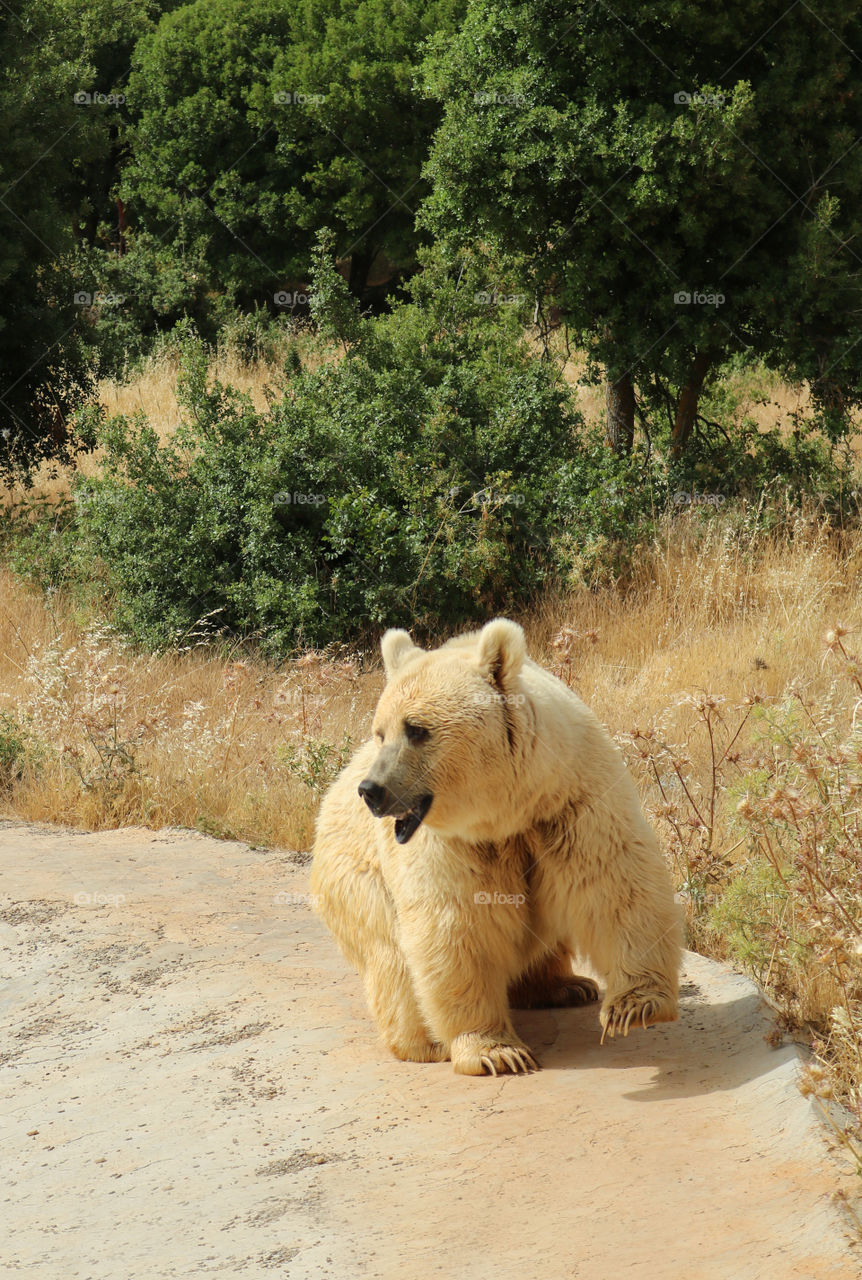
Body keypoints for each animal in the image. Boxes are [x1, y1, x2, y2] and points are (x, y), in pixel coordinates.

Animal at [310, 618, 682, 1076]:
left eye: (416, 729)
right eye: (381, 732)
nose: (372, 790)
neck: (509, 809)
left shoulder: (571, 800)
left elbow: (615, 884)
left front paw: (633, 1007)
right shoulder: (453, 845)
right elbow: (455, 925)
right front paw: (497, 1051)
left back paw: (566, 985)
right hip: (357, 883)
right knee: (392, 959)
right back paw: (424, 1041)